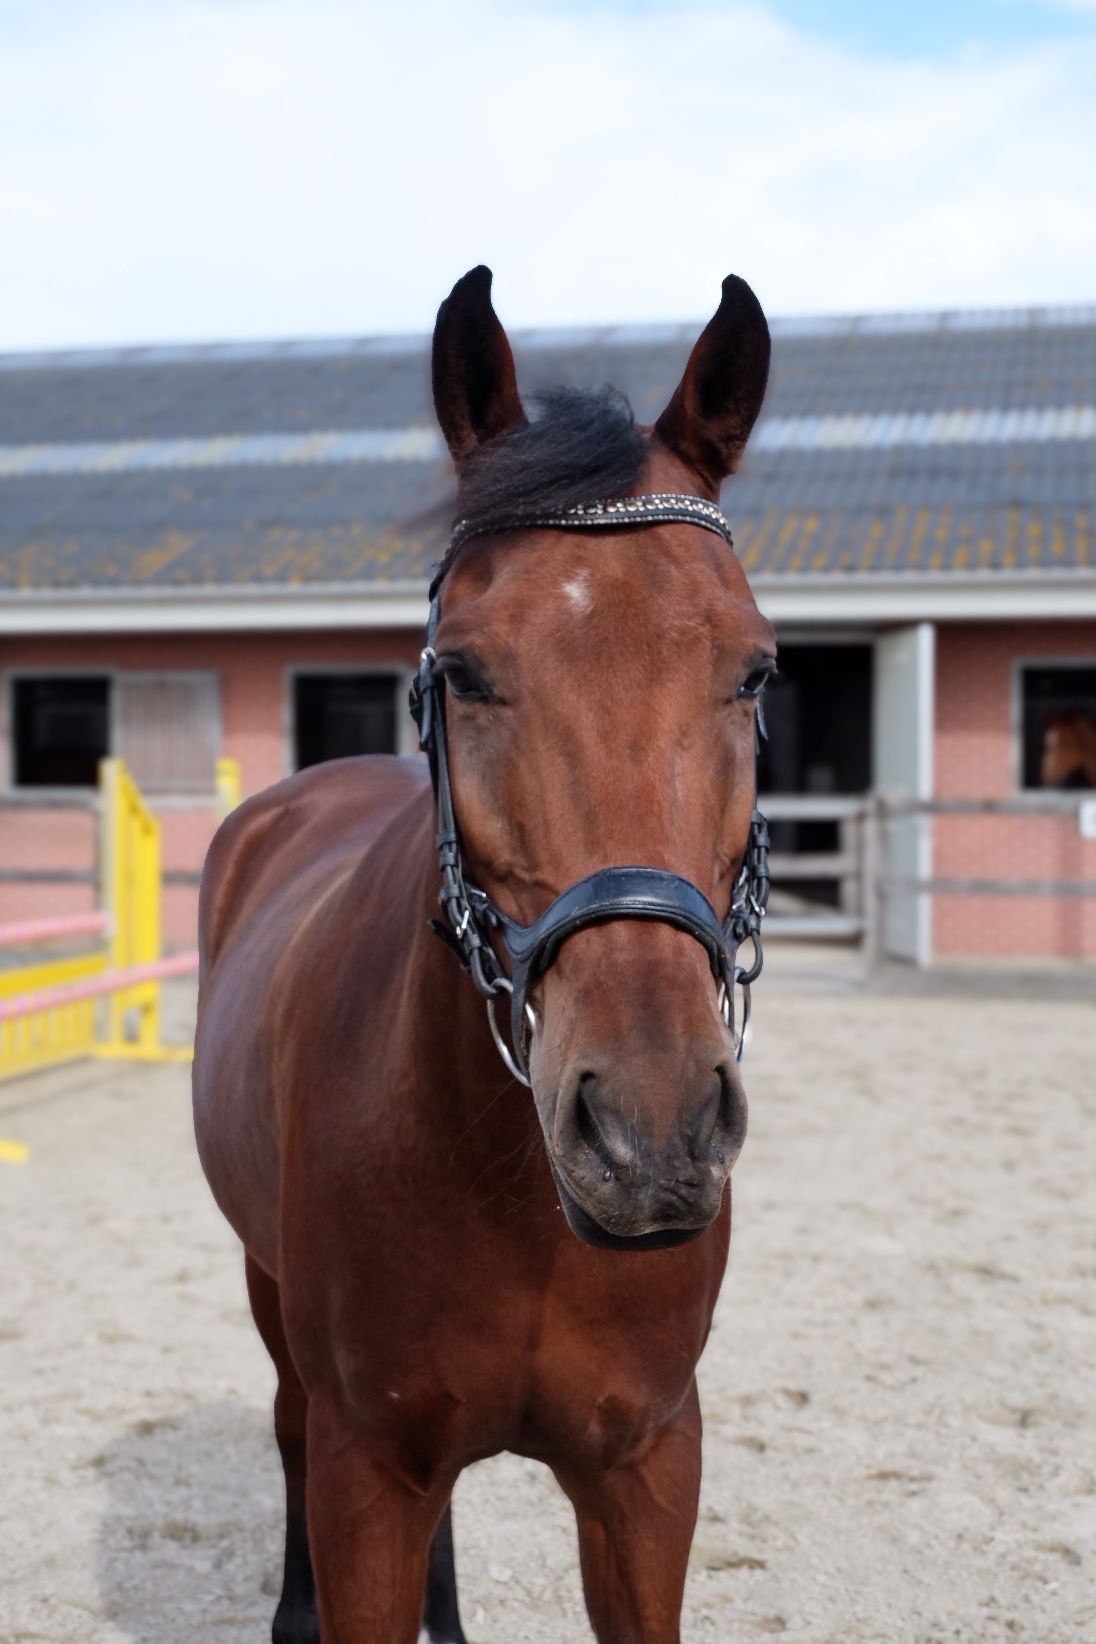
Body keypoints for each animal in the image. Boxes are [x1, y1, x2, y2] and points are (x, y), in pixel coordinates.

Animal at [192, 264, 776, 1644]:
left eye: (754, 670)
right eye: (461, 671)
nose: (651, 1131)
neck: (510, 1195)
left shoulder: (647, 1470)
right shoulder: (365, 1470)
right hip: (271, 1301)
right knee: (286, 1420)